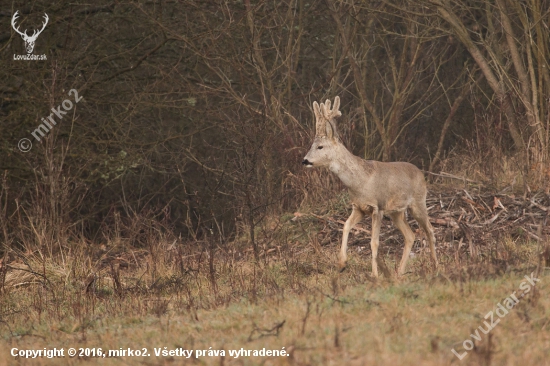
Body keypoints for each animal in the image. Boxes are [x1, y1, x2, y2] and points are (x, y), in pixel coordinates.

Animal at [302, 96, 440, 276]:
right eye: (311, 145)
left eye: (320, 146)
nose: (304, 160)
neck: (360, 181)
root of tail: (420, 173)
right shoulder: (358, 208)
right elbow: (345, 226)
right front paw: (342, 263)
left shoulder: (378, 208)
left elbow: (374, 242)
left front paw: (374, 274)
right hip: (397, 212)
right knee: (410, 235)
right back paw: (399, 272)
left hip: (418, 202)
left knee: (430, 230)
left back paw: (435, 267)